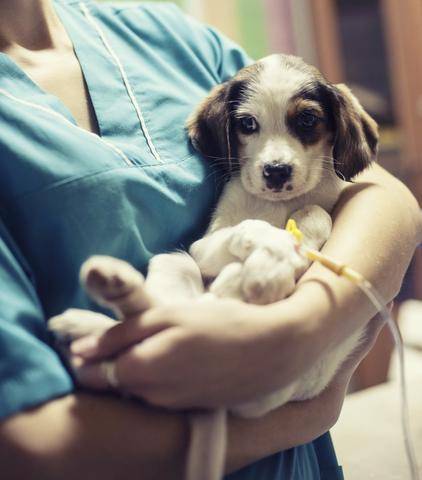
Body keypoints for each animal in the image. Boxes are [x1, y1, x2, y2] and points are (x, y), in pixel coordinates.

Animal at [49, 54, 380, 480]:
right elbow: (248, 228)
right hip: (175, 261)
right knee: (147, 318)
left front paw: (284, 253)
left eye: (307, 120)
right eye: (247, 124)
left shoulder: (324, 204)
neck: (275, 206)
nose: (276, 171)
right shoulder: (204, 246)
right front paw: (273, 252)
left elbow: (316, 212)